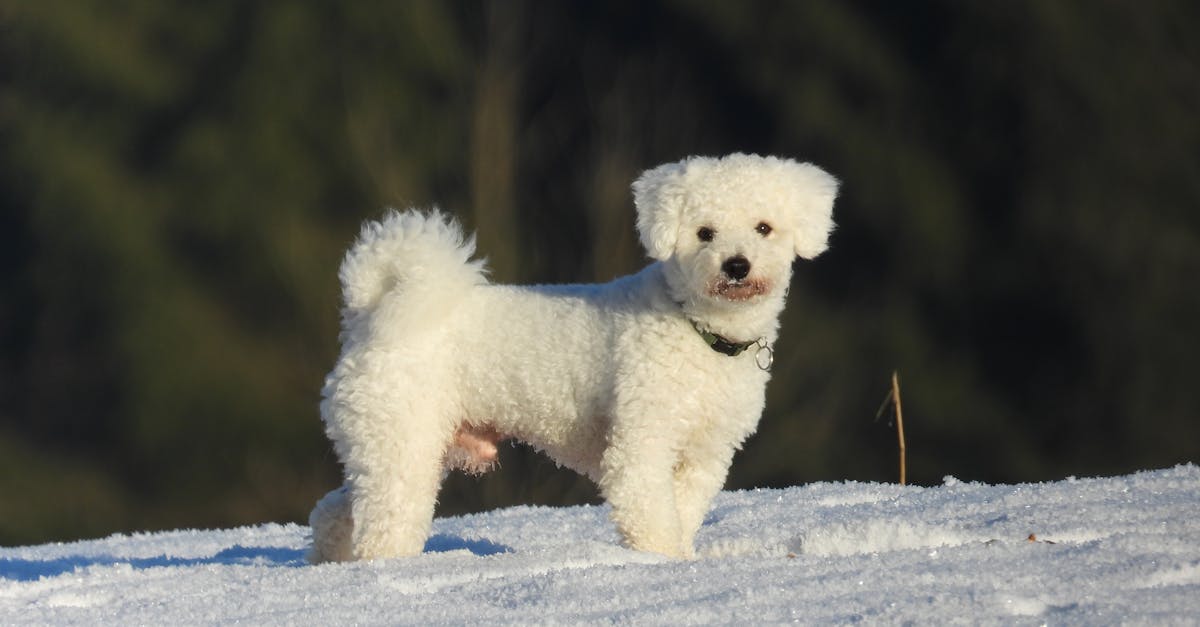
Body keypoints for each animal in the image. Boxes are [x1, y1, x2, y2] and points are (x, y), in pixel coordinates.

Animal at [307, 152, 835, 562]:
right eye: (704, 233)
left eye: (764, 228)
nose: (736, 265)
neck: (696, 327)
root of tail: (369, 317)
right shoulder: (640, 446)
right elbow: (651, 516)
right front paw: (661, 564)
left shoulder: (705, 454)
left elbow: (682, 512)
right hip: (402, 441)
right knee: (384, 522)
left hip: (394, 444)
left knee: (337, 509)